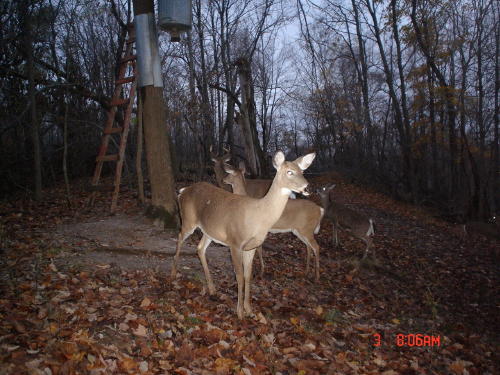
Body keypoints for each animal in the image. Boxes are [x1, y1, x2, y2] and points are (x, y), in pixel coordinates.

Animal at [170, 151, 314, 318]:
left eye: (302, 171)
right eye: (289, 171)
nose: (307, 187)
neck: (258, 216)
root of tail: (183, 191)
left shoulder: (251, 247)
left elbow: (247, 275)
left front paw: (249, 309)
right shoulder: (235, 242)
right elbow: (238, 275)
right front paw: (239, 312)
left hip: (210, 230)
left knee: (199, 248)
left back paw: (212, 289)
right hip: (189, 219)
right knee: (180, 237)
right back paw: (173, 274)